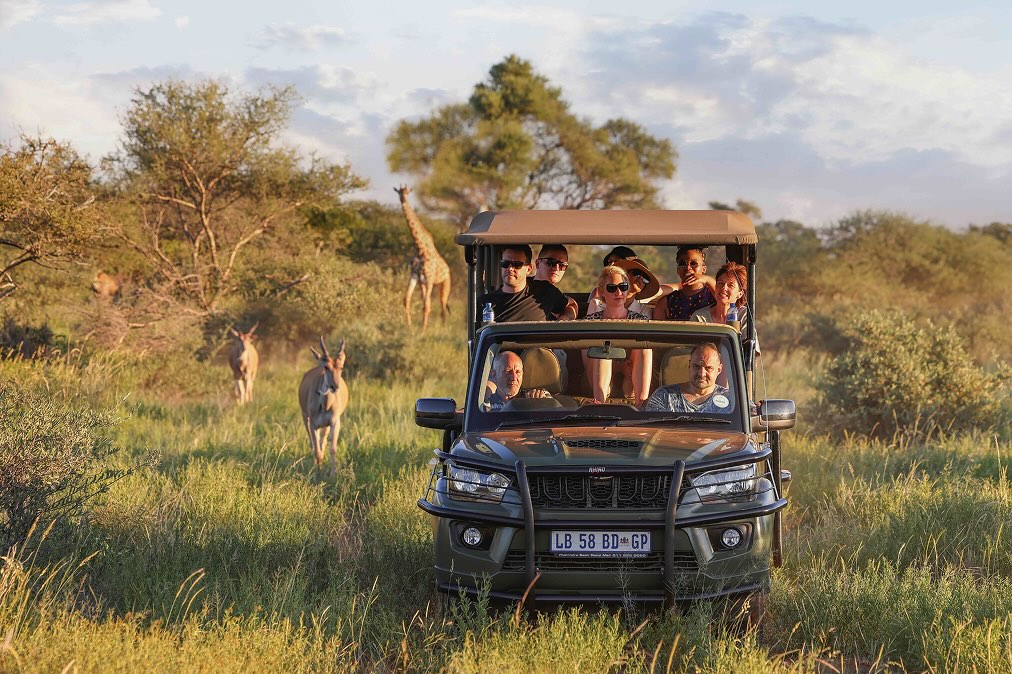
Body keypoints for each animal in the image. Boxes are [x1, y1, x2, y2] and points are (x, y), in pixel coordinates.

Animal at [395, 185, 451, 329]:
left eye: (407, 193)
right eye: (399, 193)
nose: (403, 200)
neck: (420, 249)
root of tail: (448, 269)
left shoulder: (429, 279)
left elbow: (427, 305)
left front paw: (423, 329)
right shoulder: (414, 276)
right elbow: (407, 300)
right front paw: (409, 327)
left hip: (445, 283)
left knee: (442, 306)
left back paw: (443, 328)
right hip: (423, 284)